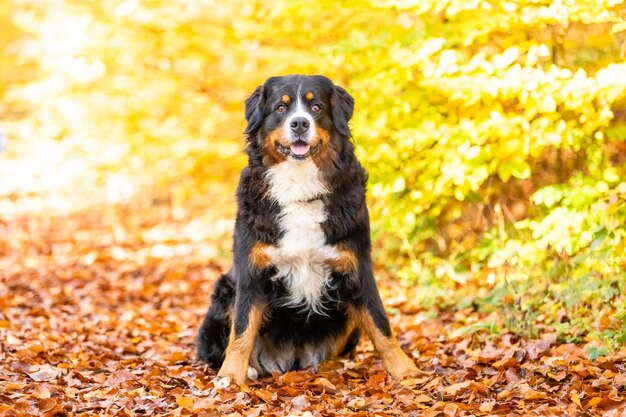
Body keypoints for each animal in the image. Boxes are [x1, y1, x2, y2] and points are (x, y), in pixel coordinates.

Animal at [197, 74, 416, 384]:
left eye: (316, 107)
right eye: (280, 108)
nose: (299, 123)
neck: (299, 189)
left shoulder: (356, 268)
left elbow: (381, 324)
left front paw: (406, 371)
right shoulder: (250, 273)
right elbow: (241, 330)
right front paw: (230, 377)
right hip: (224, 290)